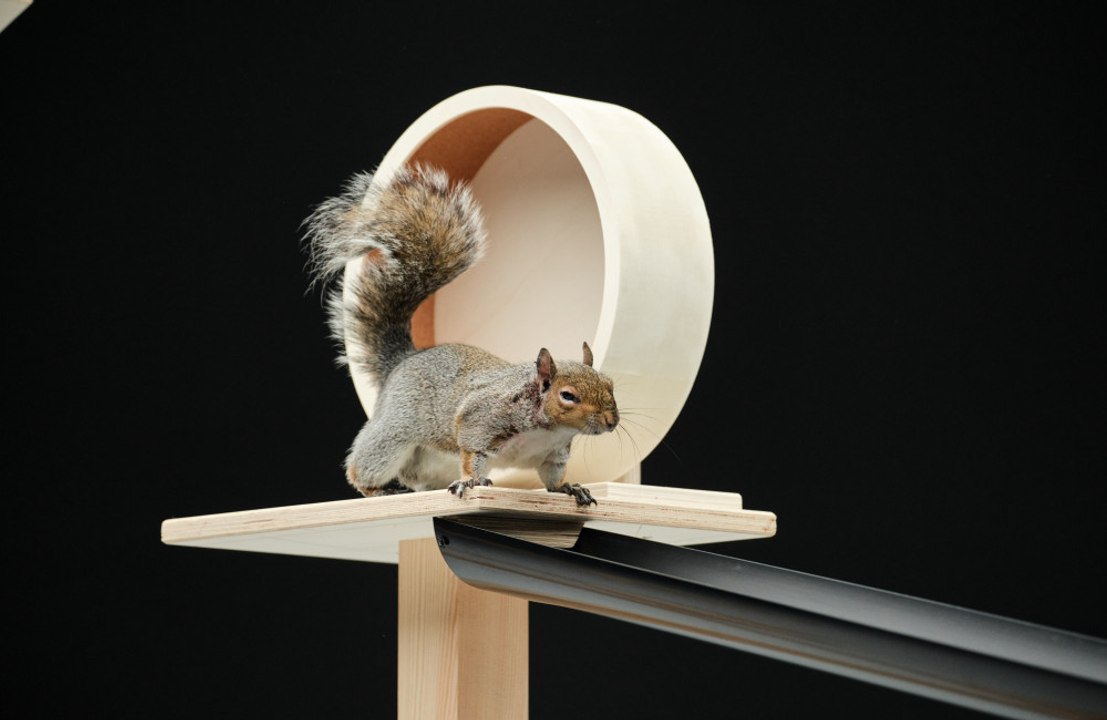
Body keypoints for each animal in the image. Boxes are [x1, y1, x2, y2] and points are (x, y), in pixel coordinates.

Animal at [302, 163, 620, 506]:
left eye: (610, 385)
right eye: (568, 396)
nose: (611, 421)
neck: (550, 429)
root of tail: (404, 360)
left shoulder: (553, 455)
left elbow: (552, 478)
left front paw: (569, 488)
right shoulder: (479, 419)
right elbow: (471, 453)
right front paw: (472, 482)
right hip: (394, 433)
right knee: (364, 466)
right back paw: (377, 488)